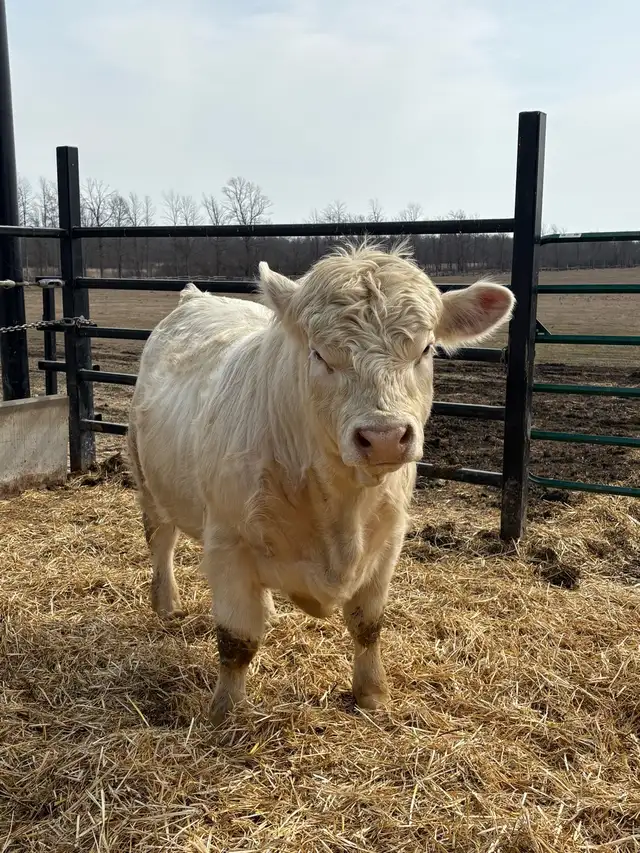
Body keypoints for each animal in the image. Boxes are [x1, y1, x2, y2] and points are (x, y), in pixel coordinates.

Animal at [127, 241, 514, 724]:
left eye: (425, 349)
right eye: (320, 355)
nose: (384, 437)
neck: (341, 506)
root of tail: (196, 298)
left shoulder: (388, 540)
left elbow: (368, 625)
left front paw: (372, 694)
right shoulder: (228, 543)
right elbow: (236, 641)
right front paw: (225, 713)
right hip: (148, 478)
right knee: (160, 542)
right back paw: (165, 604)